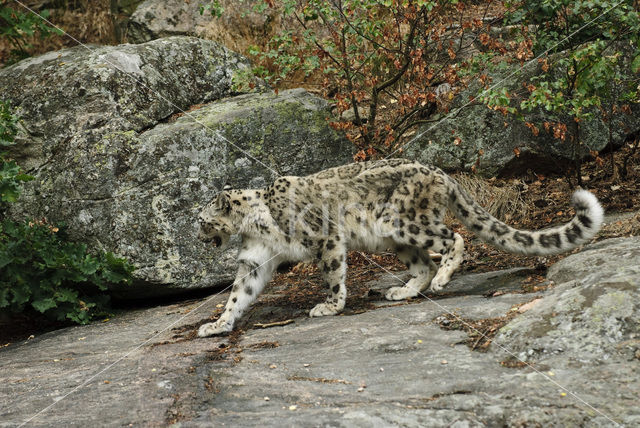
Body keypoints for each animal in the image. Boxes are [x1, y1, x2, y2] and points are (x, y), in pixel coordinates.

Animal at [195, 158, 600, 338]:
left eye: (201, 220)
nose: (197, 236)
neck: (255, 225)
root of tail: (441, 173)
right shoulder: (255, 259)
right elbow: (239, 294)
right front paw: (218, 324)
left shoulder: (326, 238)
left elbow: (332, 274)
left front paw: (329, 306)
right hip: (395, 236)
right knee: (422, 263)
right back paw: (403, 290)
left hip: (405, 221)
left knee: (453, 239)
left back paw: (442, 279)